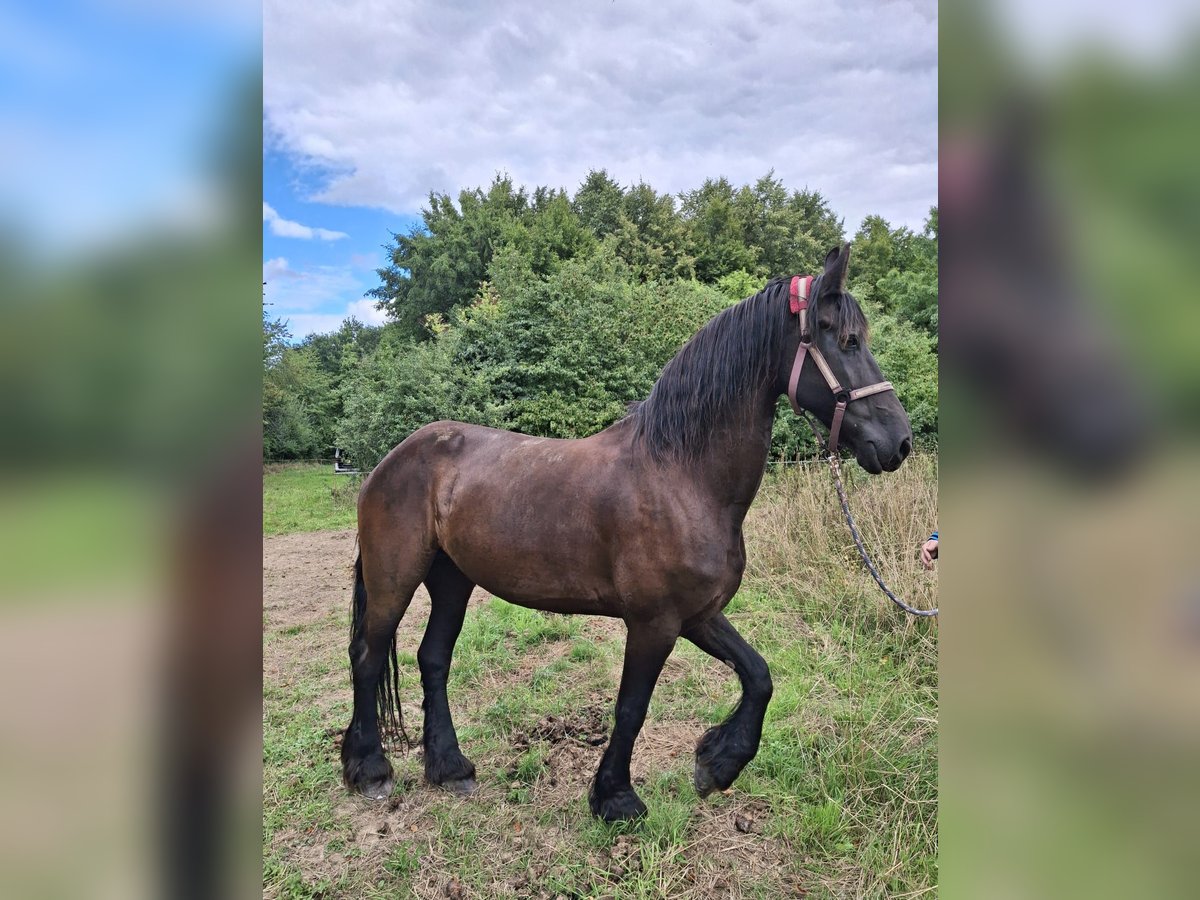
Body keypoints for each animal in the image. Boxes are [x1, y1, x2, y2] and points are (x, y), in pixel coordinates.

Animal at [341, 243, 913, 822]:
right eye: (848, 340)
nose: (899, 442)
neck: (681, 475)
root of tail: (391, 460)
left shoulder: (697, 614)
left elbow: (759, 675)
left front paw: (717, 763)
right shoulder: (654, 622)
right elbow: (631, 707)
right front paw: (615, 796)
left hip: (453, 580)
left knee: (433, 659)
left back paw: (450, 767)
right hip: (394, 581)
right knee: (367, 658)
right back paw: (369, 770)